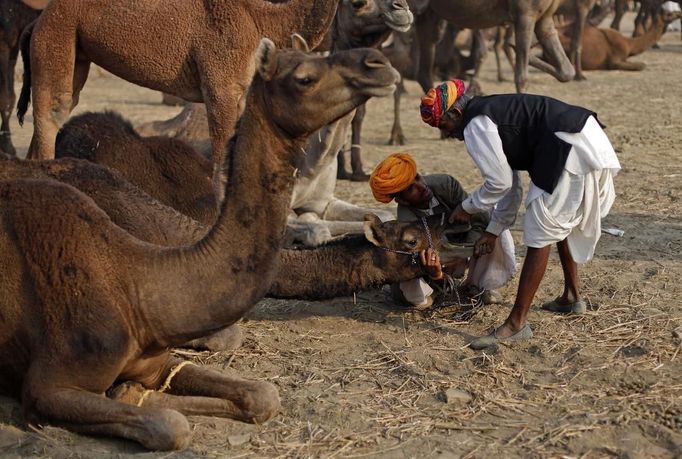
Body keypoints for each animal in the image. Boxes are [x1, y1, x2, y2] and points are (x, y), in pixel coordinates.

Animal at [17, 0, 340, 199]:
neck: (262, 20)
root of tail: (37, 22)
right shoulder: (221, 86)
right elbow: (221, 167)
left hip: (75, 52)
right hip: (56, 38)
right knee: (53, 113)